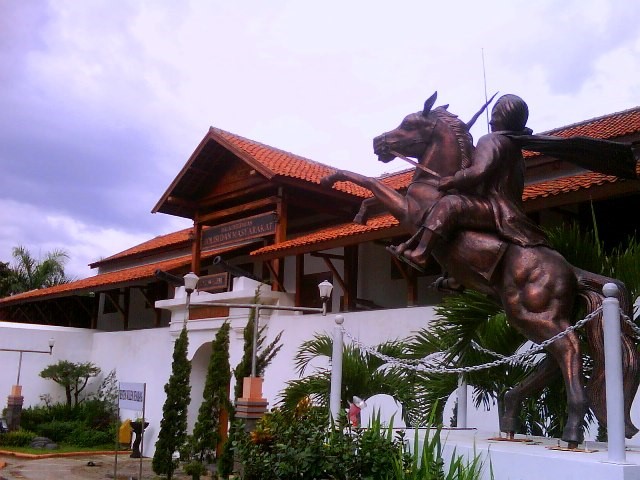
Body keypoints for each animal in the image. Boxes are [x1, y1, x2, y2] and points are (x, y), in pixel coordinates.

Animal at [320, 91, 640, 446]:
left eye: (409, 123)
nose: (379, 142)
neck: (433, 180)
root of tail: (572, 271)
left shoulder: (410, 210)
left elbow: (373, 186)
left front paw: (338, 183)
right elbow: (373, 192)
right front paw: (361, 211)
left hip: (530, 313)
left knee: (568, 349)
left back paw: (570, 430)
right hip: (548, 317)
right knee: (554, 357)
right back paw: (511, 415)